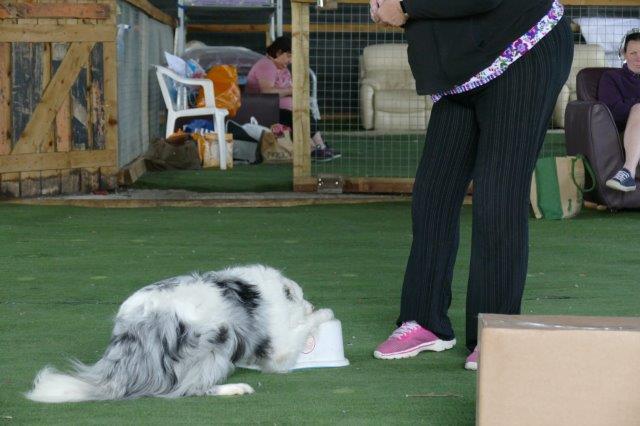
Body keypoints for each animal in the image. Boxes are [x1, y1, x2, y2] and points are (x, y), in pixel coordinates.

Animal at [26, 265, 334, 403]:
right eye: (303, 299)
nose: (309, 303)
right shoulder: (281, 348)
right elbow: (305, 325)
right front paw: (324, 313)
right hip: (217, 341)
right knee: (190, 389)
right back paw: (235, 388)